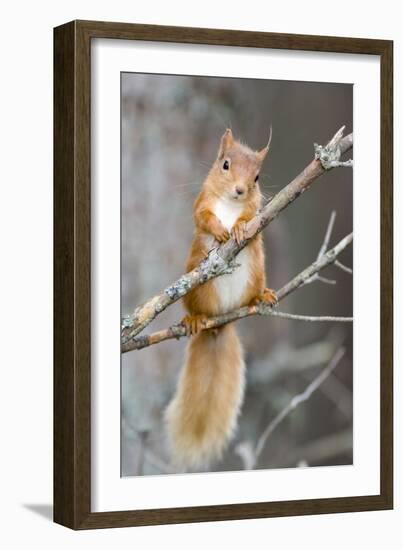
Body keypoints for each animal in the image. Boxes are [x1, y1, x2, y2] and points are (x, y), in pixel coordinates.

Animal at [165, 128, 278, 470]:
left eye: (257, 177)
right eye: (225, 164)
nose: (240, 190)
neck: (229, 203)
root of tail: (220, 323)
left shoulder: (257, 213)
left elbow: (251, 219)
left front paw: (239, 227)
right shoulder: (201, 201)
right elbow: (202, 217)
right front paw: (220, 230)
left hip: (256, 272)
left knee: (253, 292)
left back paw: (262, 297)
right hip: (195, 287)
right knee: (194, 308)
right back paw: (193, 319)